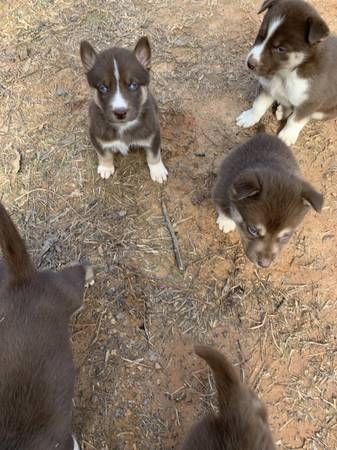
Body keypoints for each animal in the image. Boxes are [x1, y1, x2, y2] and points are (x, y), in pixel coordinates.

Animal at [79, 35, 168, 183]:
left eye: (133, 85)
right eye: (103, 88)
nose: (120, 113)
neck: (123, 126)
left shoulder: (153, 134)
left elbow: (154, 154)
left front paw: (158, 171)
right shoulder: (96, 135)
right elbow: (103, 153)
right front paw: (106, 167)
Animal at [211, 133, 322, 268]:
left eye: (286, 236)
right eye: (252, 230)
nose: (264, 265)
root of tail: (265, 134)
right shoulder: (221, 189)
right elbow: (222, 208)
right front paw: (226, 222)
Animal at [235, 0, 336, 145]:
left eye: (281, 49)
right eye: (261, 35)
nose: (250, 63)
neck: (286, 74)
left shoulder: (311, 101)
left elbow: (296, 120)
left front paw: (287, 135)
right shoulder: (269, 86)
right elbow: (259, 104)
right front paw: (249, 117)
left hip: (324, 111)